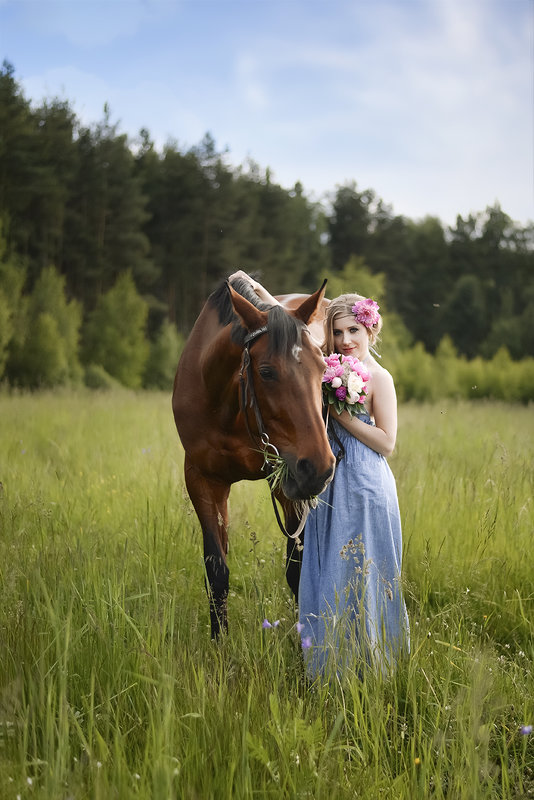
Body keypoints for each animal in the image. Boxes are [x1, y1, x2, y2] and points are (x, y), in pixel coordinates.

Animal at [174, 276, 338, 636]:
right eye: (266, 372)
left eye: (324, 366)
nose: (319, 467)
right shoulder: (202, 479)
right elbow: (216, 571)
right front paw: (219, 643)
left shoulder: (289, 483)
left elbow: (296, 570)